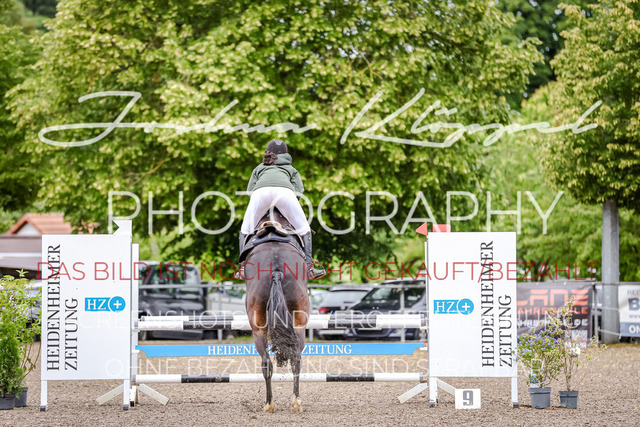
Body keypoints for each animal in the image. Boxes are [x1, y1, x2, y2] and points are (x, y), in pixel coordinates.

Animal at [242, 210, 310, 413]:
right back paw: (292, 402)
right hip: (298, 326)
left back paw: (271, 404)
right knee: (294, 360)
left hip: (259, 330)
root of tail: (277, 269)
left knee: (268, 362)